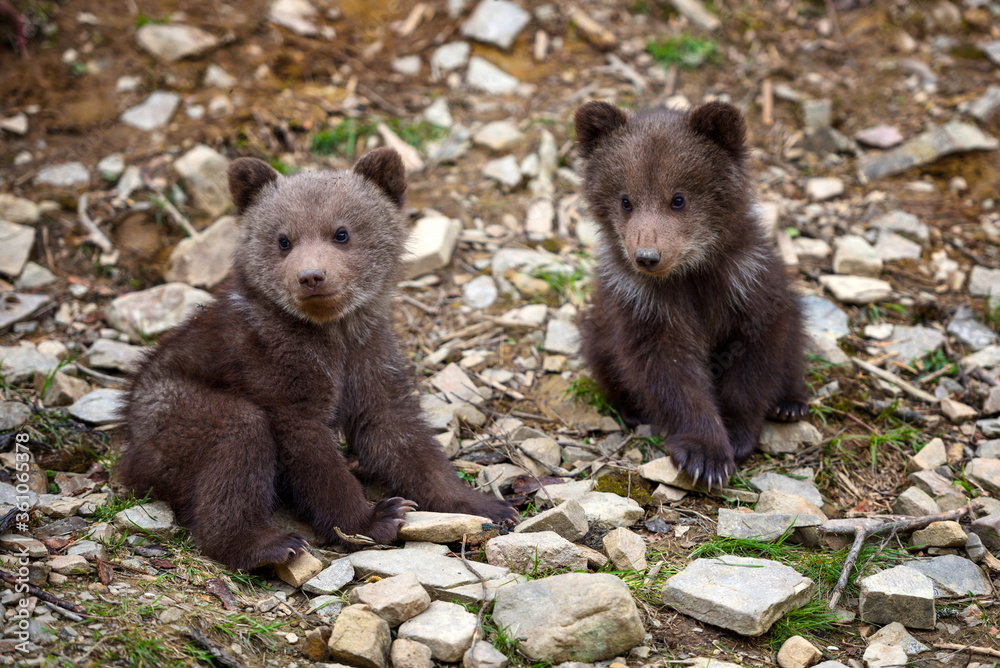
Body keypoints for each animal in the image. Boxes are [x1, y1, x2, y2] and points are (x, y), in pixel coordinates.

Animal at [119, 147, 518, 570]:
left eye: (341, 233)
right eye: (283, 240)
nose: (311, 276)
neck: (331, 332)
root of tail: (130, 450)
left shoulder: (369, 357)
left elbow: (401, 436)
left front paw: (484, 506)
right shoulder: (276, 370)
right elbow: (312, 454)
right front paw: (373, 519)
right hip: (169, 411)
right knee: (237, 436)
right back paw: (264, 543)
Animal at [573, 100, 809, 489]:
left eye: (678, 198)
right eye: (625, 200)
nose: (648, 256)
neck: (689, 276)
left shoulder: (749, 285)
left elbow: (754, 361)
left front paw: (737, 434)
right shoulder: (640, 305)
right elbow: (669, 375)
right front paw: (705, 455)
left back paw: (790, 403)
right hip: (600, 328)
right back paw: (630, 410)